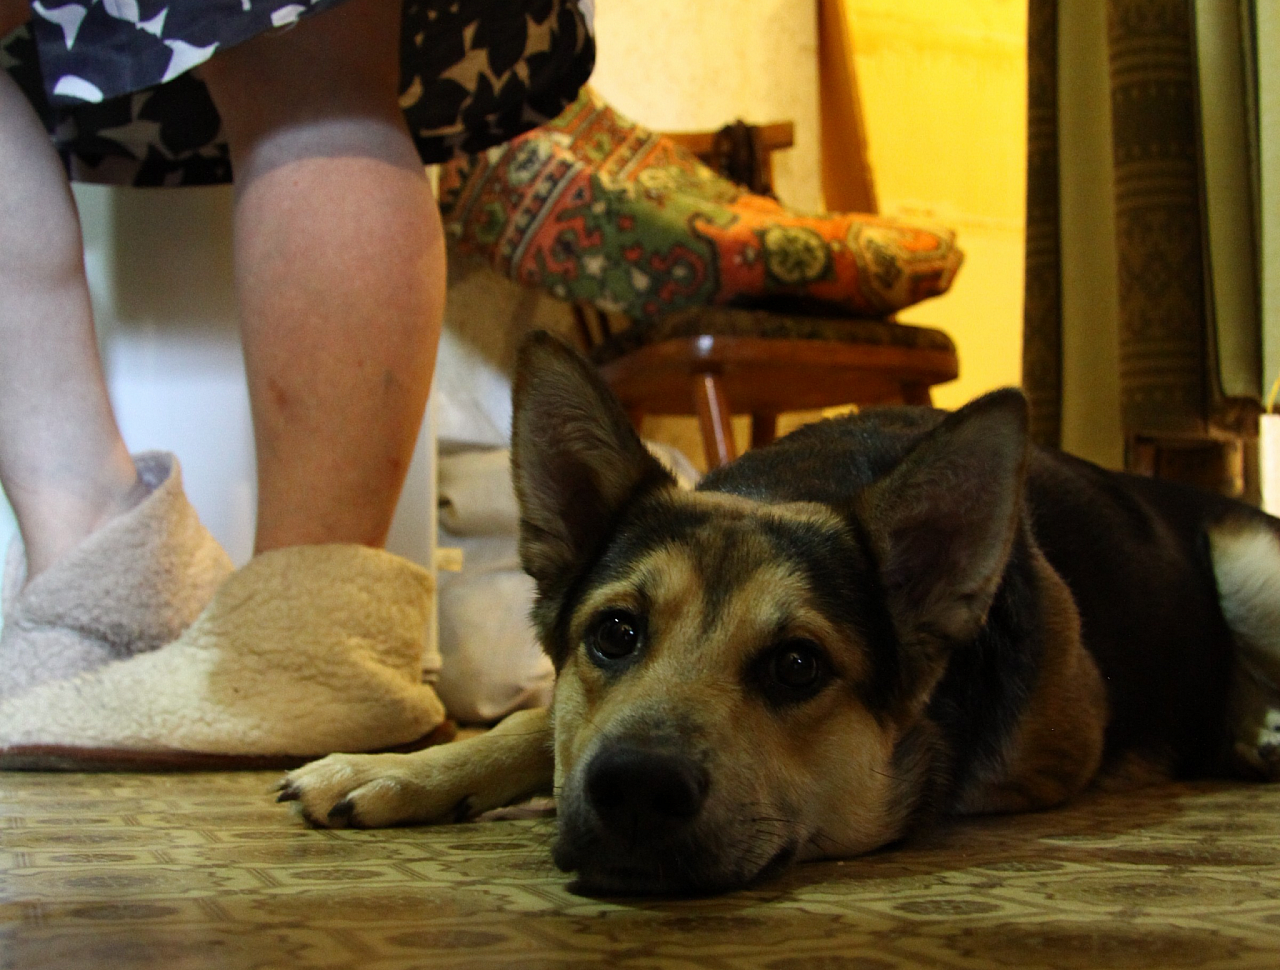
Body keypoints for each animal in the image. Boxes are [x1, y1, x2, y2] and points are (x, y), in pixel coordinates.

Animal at [277, 330, 1280, 890]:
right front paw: (401, 769)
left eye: (798, 665)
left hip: (1252, 561)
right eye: (615, 634)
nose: (635, 787)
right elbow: (530, 723)